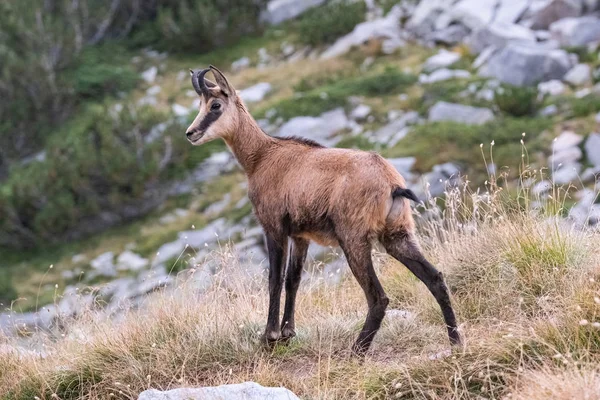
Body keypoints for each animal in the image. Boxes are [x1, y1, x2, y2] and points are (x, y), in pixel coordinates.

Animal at [186, 66, 460, 356]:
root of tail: (392, 184)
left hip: (354, 241)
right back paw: (455, 341)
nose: (191, 133)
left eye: (215, 105)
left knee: (378, 297)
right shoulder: (300, 236)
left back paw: (356, 351)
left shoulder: (273, 227)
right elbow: (293, 279)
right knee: (435, 278)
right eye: (200, 104)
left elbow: (274, 279)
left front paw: (269, 337)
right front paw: (287, 334)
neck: (261, 156)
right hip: (398, 235)